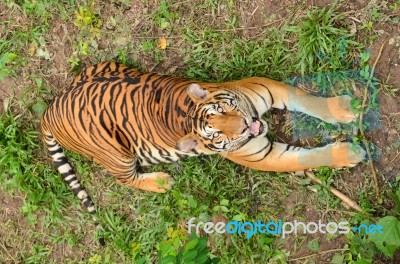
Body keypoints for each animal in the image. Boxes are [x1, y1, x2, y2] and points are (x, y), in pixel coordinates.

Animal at [39, 62, 366, 229]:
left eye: (224, 109)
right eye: (217, 135)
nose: (247, 126)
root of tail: (50, 109)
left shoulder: (272, 89)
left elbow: (307, 100)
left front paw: (342, 110)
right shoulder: (264, 154)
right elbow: (309, 158)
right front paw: (350, 153)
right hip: (117, 154)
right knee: (124, 178)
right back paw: (162, 182)